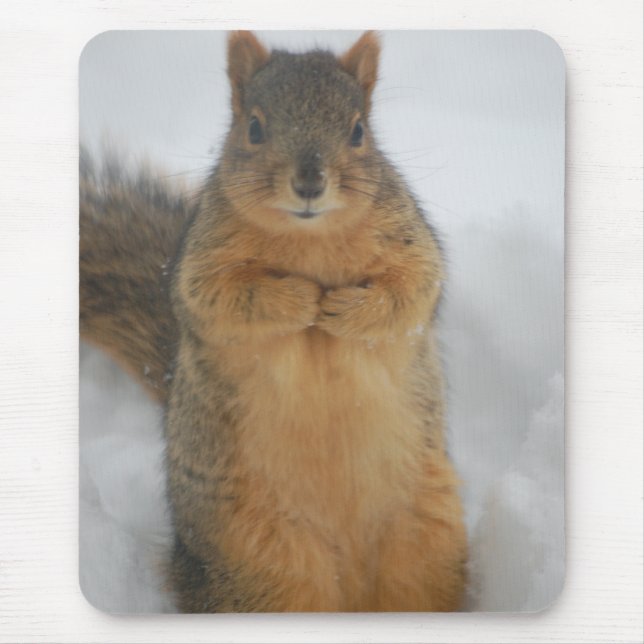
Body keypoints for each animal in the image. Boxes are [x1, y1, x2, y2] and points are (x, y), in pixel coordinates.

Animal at [80, 31, 467, 612]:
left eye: (359, 130)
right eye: (254, 127)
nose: (309, 182)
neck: (309, 239)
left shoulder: (411, 244)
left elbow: (411, 293)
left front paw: (342, 309)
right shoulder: (201, 265)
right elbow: (221, 300)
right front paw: (302, 300)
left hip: (427, 542)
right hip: (258, 563)